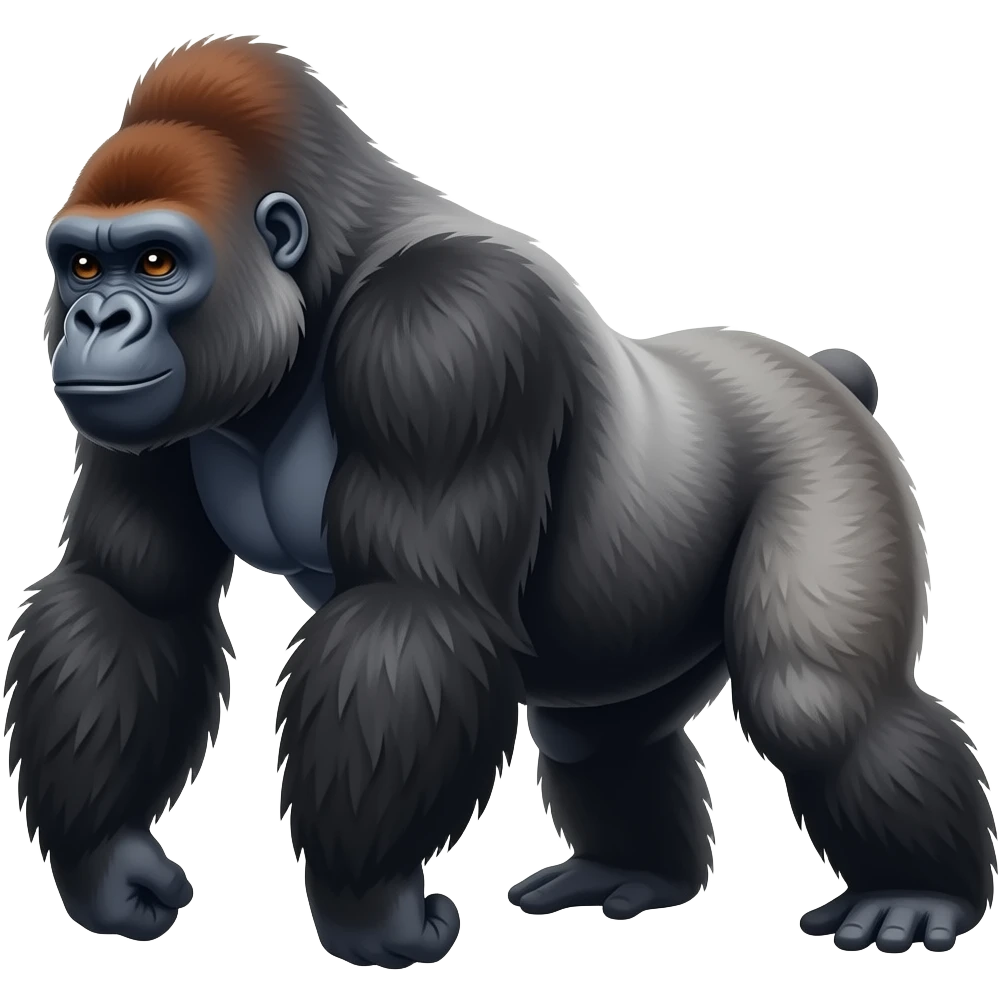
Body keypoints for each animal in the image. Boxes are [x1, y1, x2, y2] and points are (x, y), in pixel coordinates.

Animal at [6, 33, 995, 968]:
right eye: (82, 267)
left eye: (158, 261)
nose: (96, 321)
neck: (322, 277)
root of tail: (816, 368)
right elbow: (131, 597)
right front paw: (107, 864)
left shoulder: (444, 332)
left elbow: (412, 610)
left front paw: (368, 909)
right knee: (600, 737)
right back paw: (634, 868)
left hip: (825, 453)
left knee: (818, 706)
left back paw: (919, 893)